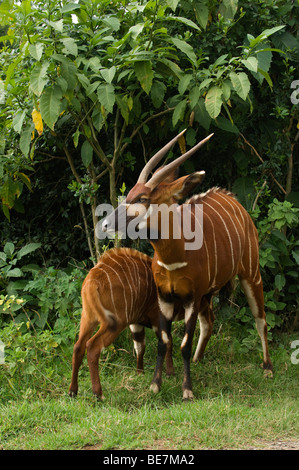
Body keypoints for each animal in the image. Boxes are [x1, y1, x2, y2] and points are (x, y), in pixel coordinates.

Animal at [103, 131, 274, 400]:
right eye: (128, 194)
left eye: (143, 198)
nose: (106, 224)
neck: (175, 254)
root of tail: (234, 201)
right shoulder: (165, 296)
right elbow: (164, 341)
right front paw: (155, 384)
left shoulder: (191, 298)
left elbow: (183, 343)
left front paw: (187, 390)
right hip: (209, 293)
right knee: (210, 321)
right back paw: (197, 360)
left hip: (250, 274)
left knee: (260, 319)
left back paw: (267, 368)